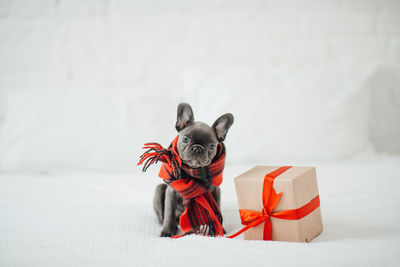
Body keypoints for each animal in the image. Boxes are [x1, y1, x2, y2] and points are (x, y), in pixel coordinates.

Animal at [153, 103, 234, 238]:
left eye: (212, 146)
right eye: (185, 139)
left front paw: (219, 229)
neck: (193, 173)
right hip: (159, 189)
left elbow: (216, 210)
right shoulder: (171, 192)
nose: (198, 148)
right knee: (162, 216)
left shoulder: (216, 191)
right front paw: (167, 230)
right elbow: (169, 212)